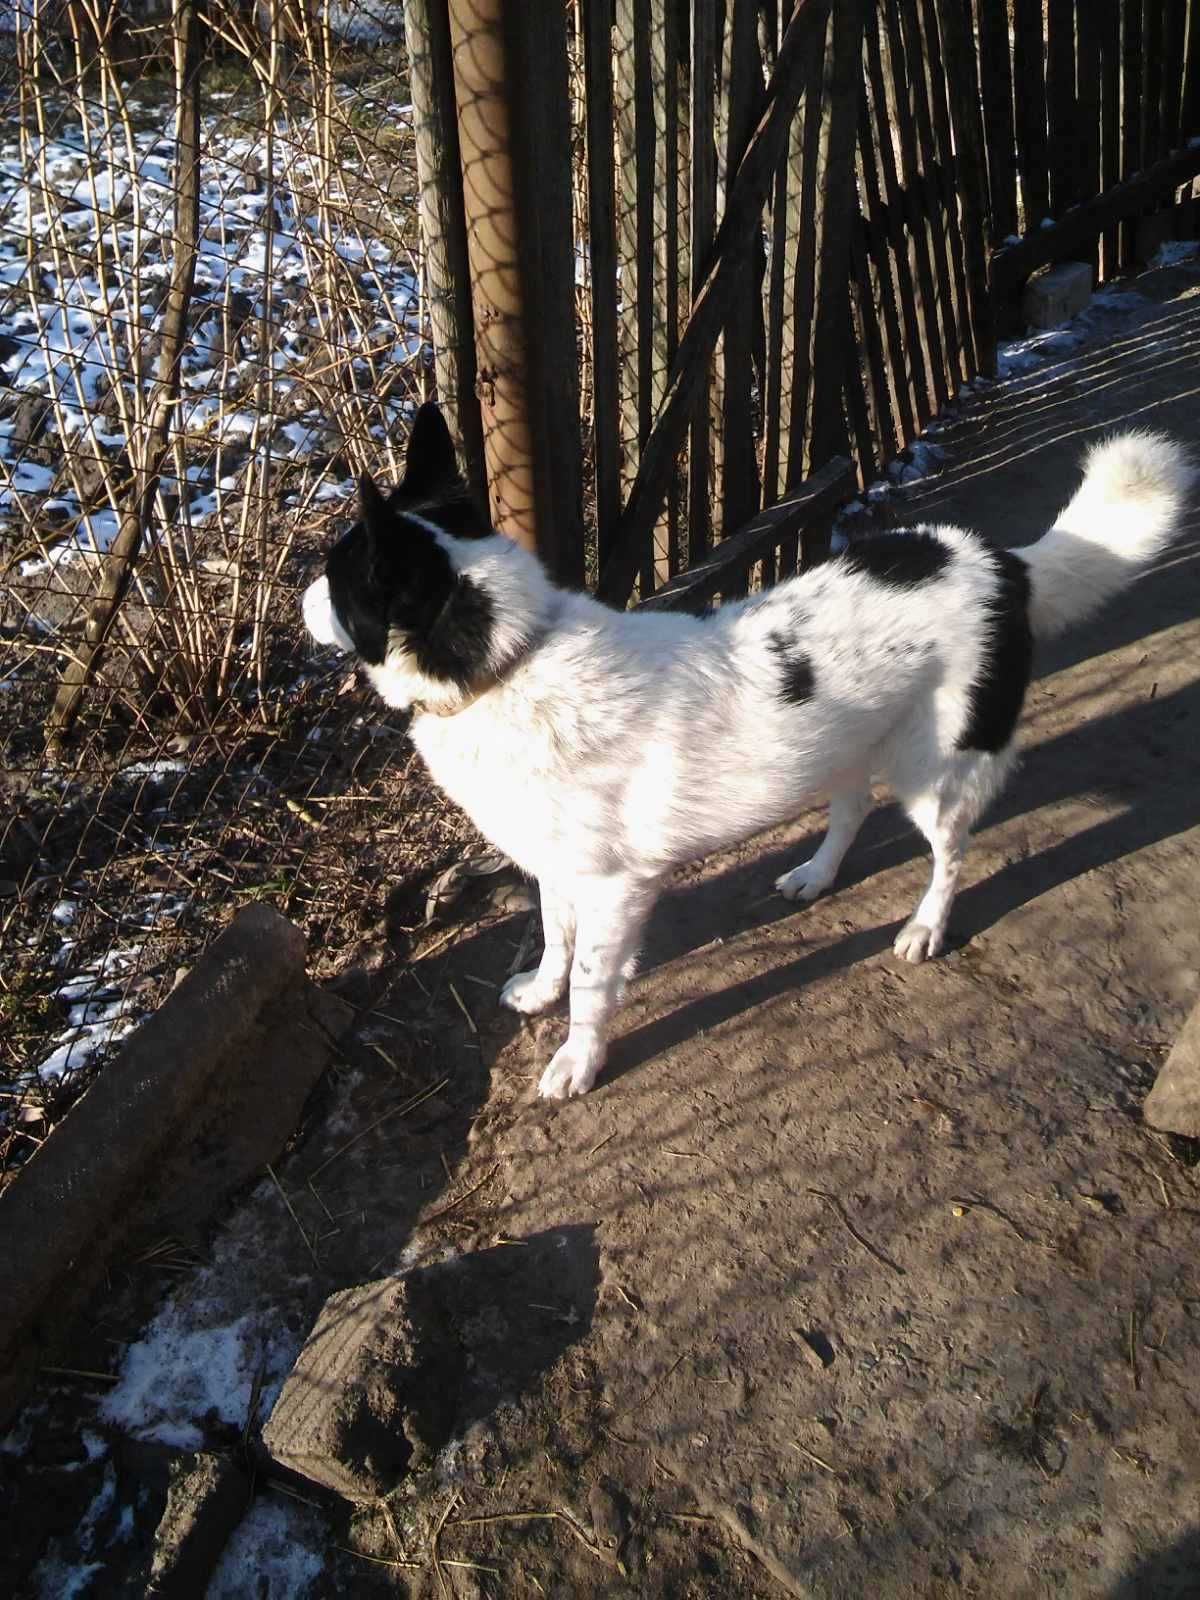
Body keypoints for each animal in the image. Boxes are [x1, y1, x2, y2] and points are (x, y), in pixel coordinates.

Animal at [302, 403, 1196, 1100]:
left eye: (337, 577)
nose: (301, 599)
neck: (505, 662)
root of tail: (1004, 564)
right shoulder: (560, 868)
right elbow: (556, 939)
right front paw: (540, 990)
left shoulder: (617, 889)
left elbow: (592, 982)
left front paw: (577, 1061)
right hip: (845, 742)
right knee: (851, 806)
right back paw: (816, 875)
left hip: (936, 773)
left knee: (948, 855)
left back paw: (925, 927)